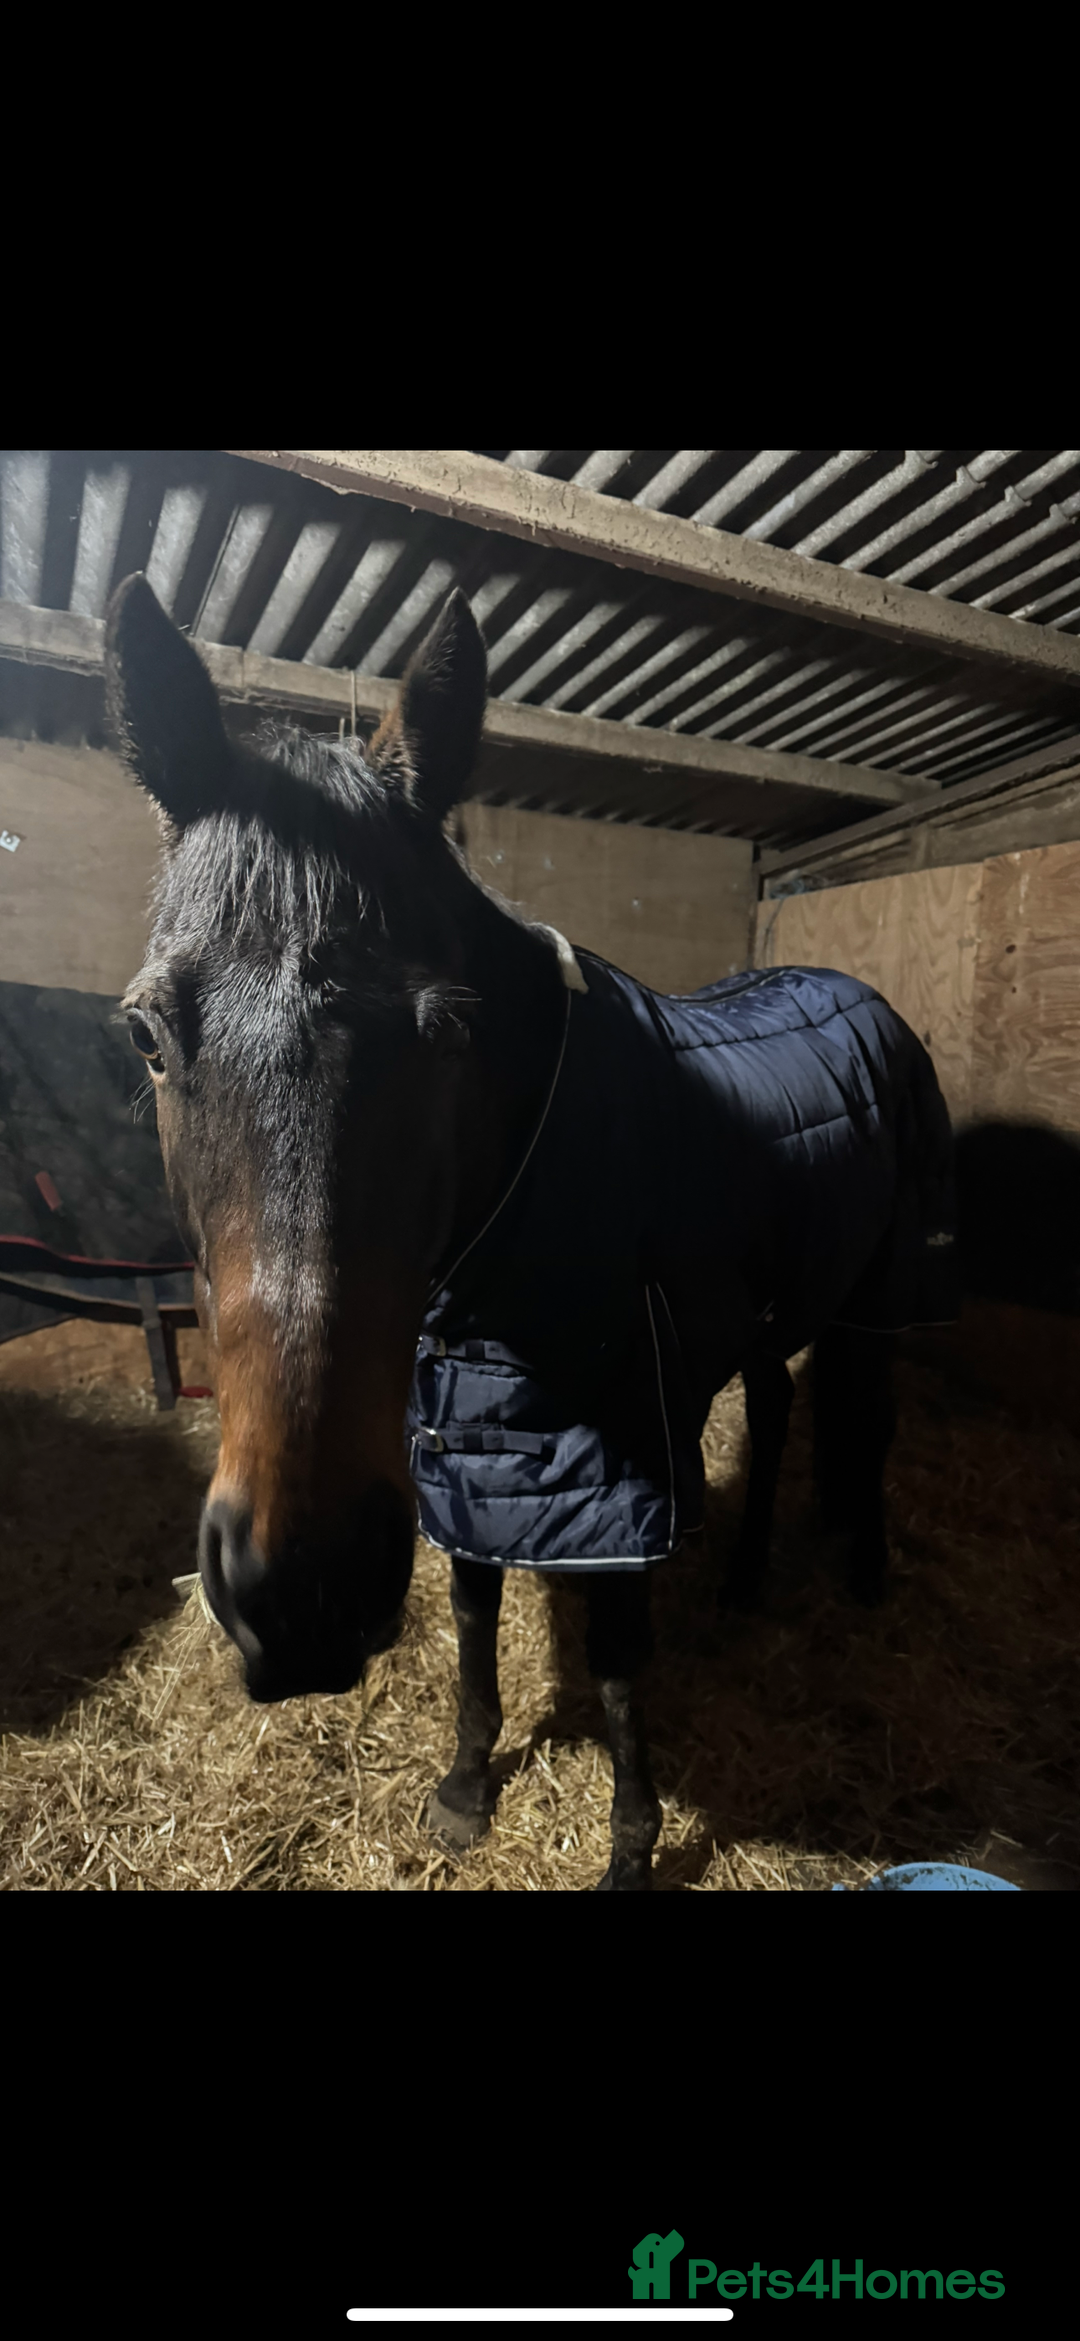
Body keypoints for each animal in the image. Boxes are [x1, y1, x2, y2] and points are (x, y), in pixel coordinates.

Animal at [105, 572, 958, 1891]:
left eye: (445, 1030)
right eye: (148, 1035)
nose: (302, 1593)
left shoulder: (617, 1461)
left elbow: (614, 1657)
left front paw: (631, 1845)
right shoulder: (469, 1439)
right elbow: (469, 1612)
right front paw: (465, 1788)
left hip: (873, 1294)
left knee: (865, 1424)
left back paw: (862, 1577)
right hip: (771, 1312)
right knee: (776, 1414)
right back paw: (747, 1582)